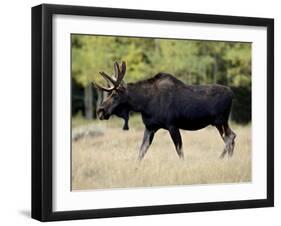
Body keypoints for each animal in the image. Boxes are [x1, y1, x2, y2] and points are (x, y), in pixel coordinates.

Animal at [93, 61, 235, 160]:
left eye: (115, 95)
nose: (100, 110)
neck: (143, 104)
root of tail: (232, 93)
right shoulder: (150, 127)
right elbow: (141, 152)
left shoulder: (172, 125)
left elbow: (180, 151)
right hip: (219, 122)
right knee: (230, 137)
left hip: (220, 120)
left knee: (230, 137)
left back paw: (220, 159)